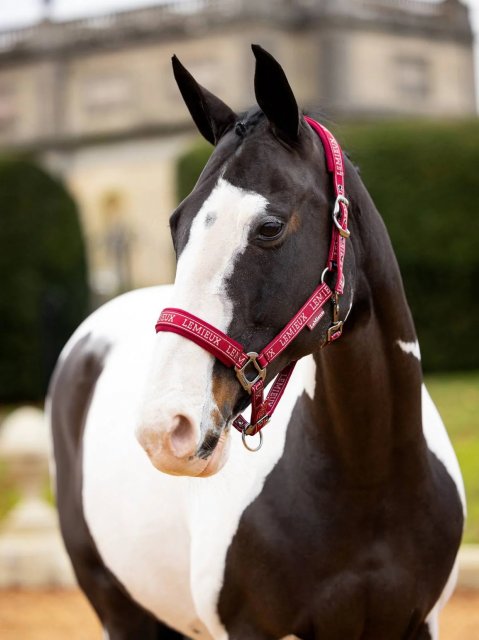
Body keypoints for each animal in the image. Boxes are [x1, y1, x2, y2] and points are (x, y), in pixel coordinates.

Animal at [48, 45, 464, 640]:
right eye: (176, 223)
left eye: (269, 226)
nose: (165, 429)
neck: (368, 480)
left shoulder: (417, 624)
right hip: (118, 610)